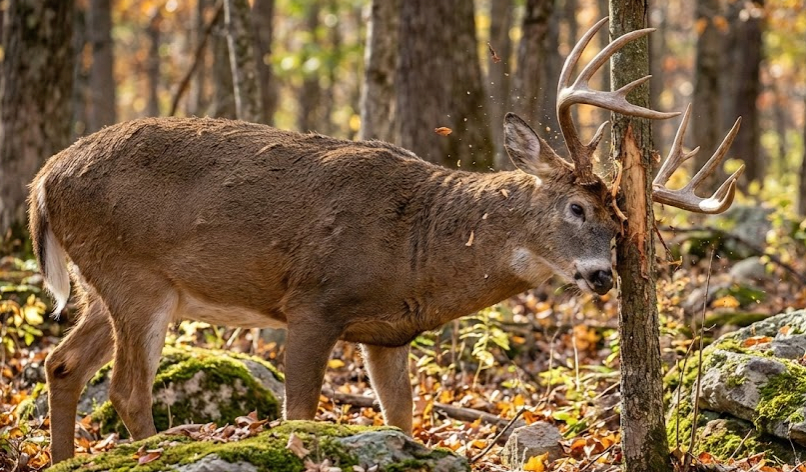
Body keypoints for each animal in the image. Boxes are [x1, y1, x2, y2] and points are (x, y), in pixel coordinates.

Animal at [30, 18, 743, 464]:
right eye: (576, 206)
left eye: (622, 221)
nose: (603, 274)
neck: (417, 247)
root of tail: (44, 180)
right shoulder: (313, 302)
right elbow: (299, 414)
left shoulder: (388, 334)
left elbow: (401, 418)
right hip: (136, 277)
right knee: (126, 388)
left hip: (108, 284)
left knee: (62, 363)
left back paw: (63, 459)